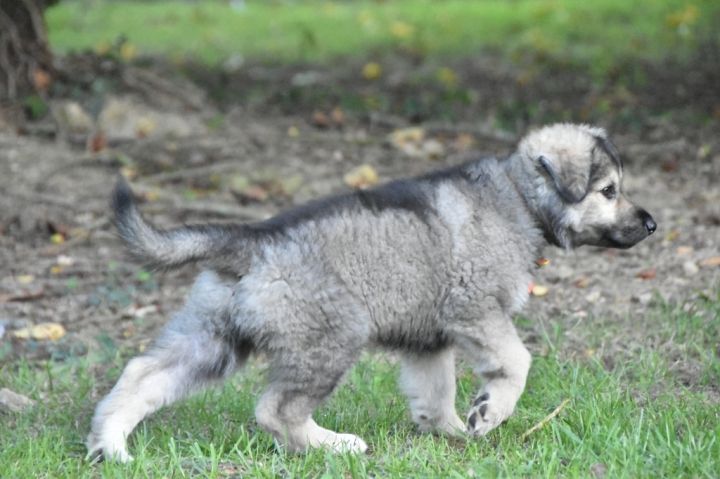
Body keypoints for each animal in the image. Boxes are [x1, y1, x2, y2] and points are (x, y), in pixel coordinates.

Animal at [87, 123, 656, 461]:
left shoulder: (430, 340)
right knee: (276, 409)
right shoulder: (475, 308)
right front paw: (489, 412)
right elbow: (517, 361)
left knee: (143, 374)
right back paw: (332, 446)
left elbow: (435, 393)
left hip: (213, 336)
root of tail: (251, 241)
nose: (652, 225)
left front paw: (451, 432)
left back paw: (111, 445)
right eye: (609, 191)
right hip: (331, 336)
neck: (517, 196)